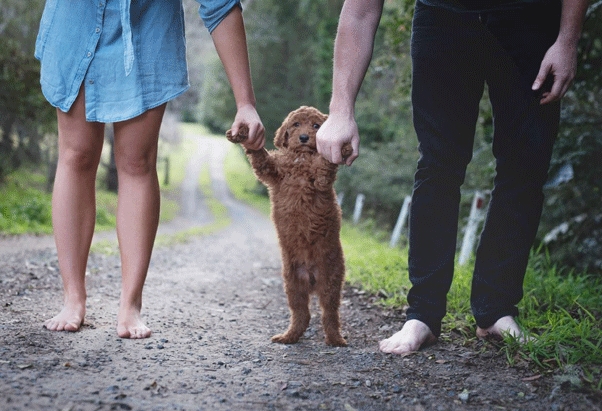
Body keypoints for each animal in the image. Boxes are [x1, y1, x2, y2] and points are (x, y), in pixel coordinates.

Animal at [226, 104, 350, 346]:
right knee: (301, 313)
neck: (300, 158)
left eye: (316, 126)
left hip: (330, 280)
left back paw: (335, 339)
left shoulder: (320, 181)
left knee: (329, 313)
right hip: (292, 283)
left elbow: (324, 164)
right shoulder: (272, 170)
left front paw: (342, 147)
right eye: (296, 124)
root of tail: (311, 276)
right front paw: (243, 135)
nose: (303, 138)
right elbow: (260, 156)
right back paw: (288, 336)